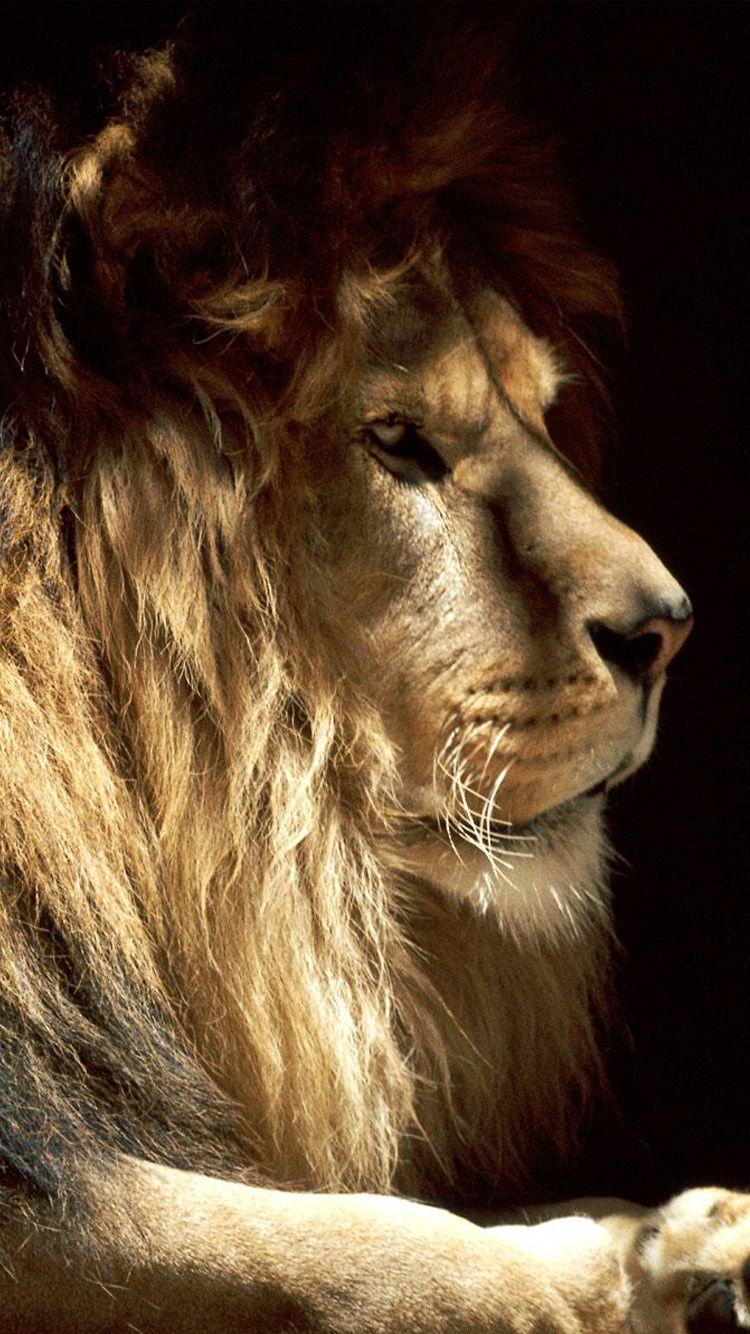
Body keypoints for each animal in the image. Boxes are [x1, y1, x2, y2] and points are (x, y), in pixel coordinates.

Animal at [0, 9, 747, 1332]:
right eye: (397, 438)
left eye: (542, 412)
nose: (668, 628)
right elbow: (350, 1240)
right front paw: (591, 1278)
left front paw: (669, 1240)